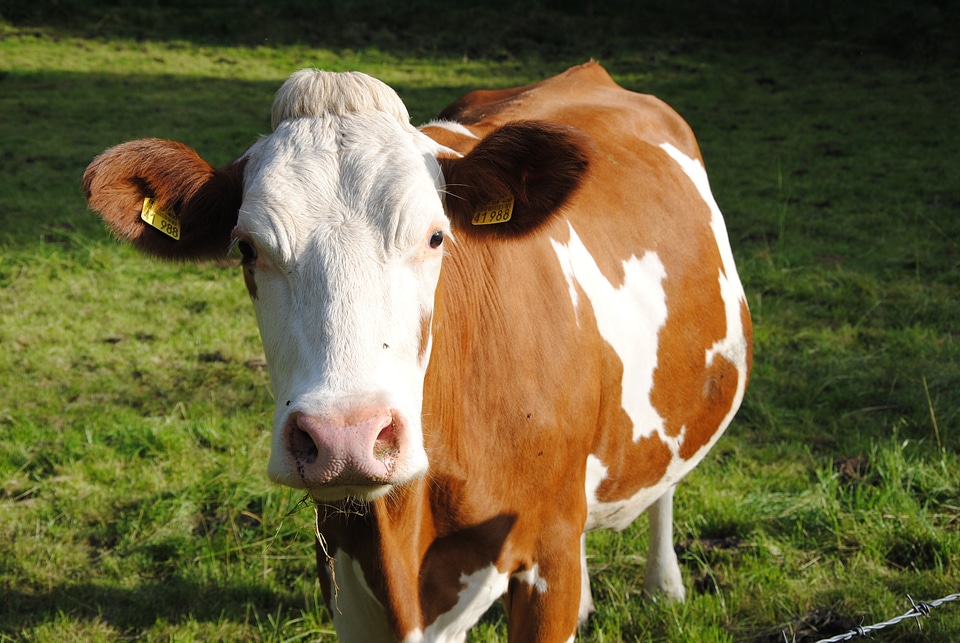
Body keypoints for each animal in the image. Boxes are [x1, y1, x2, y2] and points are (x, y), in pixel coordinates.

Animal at [84, 61, 752, 643]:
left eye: (435, 236)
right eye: (247, 248)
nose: (346, 438)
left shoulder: (549, 556)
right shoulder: (347, 573)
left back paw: (664, 585)